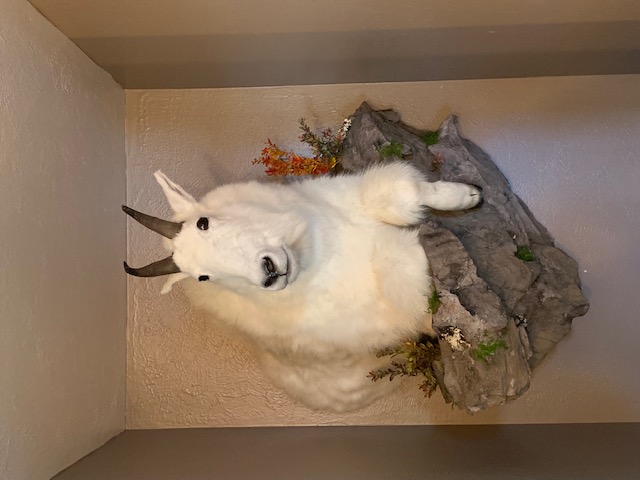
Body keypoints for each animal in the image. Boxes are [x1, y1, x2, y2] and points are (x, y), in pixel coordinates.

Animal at [124, 162, 481, 412]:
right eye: (202, 277)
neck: (322, 255)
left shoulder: (348, 197)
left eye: (203, 222)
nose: (269, 272)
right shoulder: (390, 303)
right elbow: (407, 268)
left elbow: (405, 192)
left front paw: (470, 194)